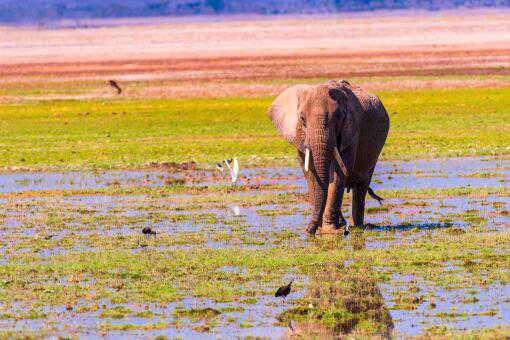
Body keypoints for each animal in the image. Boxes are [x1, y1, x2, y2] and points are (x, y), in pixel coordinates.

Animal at [268, 79, 388, 236]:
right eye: (302, 119)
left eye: (339, 118)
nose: (308, 231)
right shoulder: (299, 136)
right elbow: (310, 175)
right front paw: (321, 228)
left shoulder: (351, 132)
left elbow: (338, 175)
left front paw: (330, 230)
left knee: (361, 186)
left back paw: (358, 226)